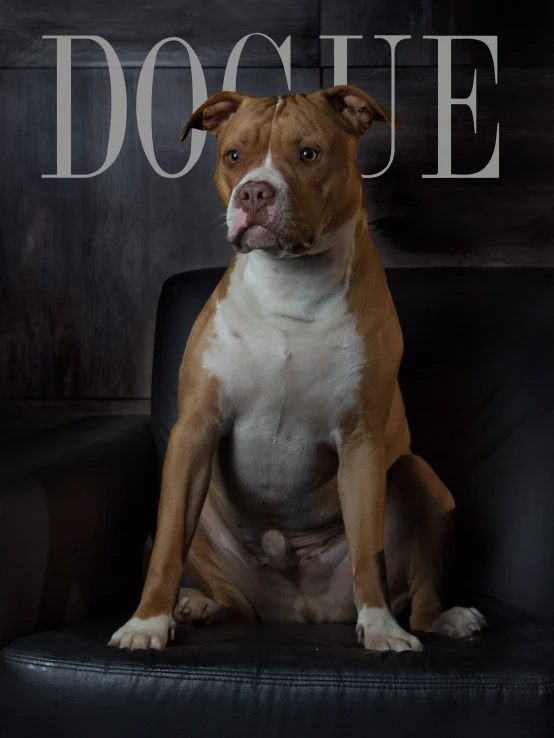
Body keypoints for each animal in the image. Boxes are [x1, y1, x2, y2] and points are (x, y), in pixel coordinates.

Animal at [106, 85, 484, 648]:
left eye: (308, 154)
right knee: (233, 602)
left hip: (421, 479)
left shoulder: (361, 440)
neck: (290, 285)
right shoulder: (193, 430)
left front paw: (380, 629)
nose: (253, 194)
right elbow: (170, 545)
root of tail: (299, 612)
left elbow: (369, 551)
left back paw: (446, 619)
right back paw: (199, 607)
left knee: (421, 592)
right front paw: (147, 623)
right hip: (206, 515)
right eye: (233, 156)